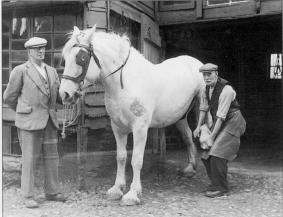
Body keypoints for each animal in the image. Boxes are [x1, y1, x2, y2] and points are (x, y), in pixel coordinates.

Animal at [60, 25, 206, 205]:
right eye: (65, 57)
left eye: (81, 57)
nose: (64, 94)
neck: (124, 83)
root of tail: (195, 62)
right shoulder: (118, 127)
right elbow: (121, 157)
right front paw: (117, 189)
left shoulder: (140, 128)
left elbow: (136, 159)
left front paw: (133, 193)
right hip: (180, 116)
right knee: (187, 136)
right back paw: (190, 168)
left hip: (202, 106)